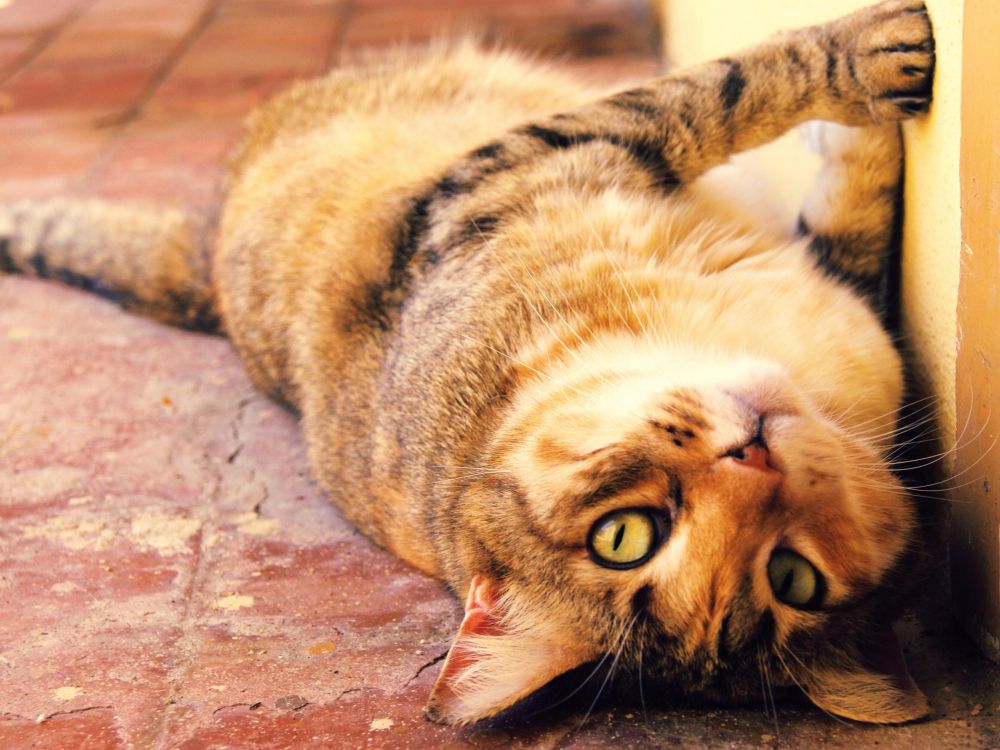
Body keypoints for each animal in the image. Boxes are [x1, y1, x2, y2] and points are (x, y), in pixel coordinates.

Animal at [0, 0, 936, 728]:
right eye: (626, 537)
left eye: (792, 577)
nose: (755, 454)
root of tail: (206, 264)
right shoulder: (519, 166)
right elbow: (728, 89)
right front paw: (883, 51)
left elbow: (856, 207)